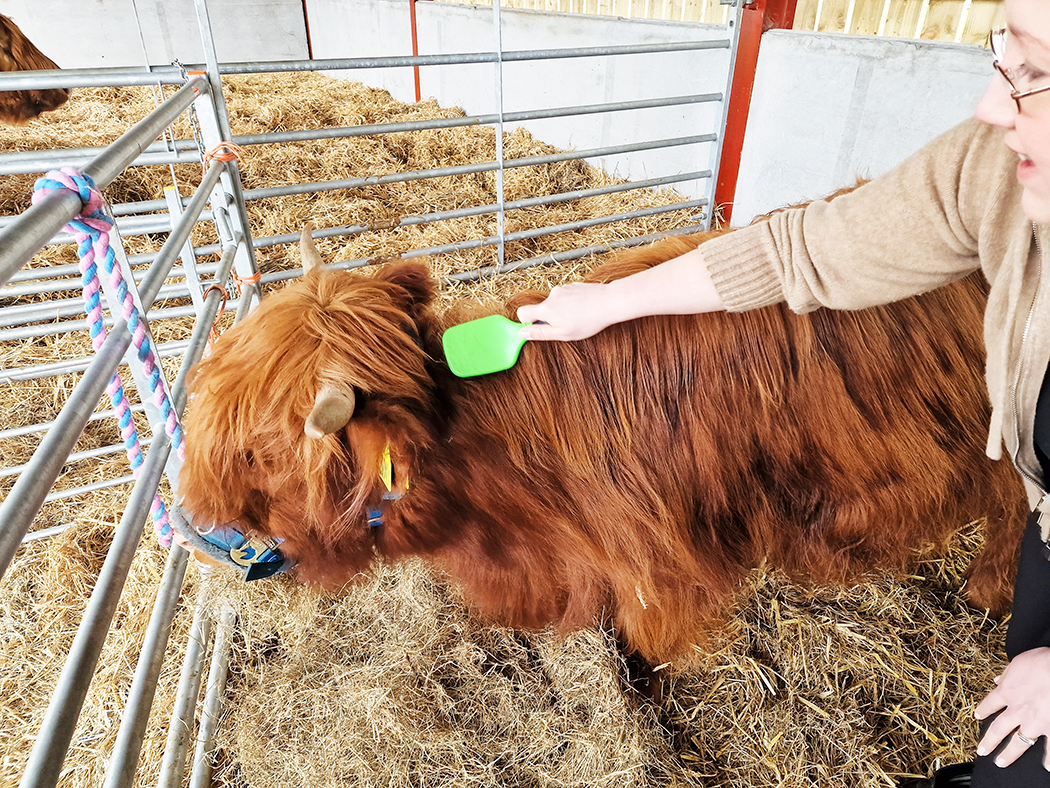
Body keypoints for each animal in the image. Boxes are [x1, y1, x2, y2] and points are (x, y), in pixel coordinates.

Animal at [177, 224, 1027, 665]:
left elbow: (650, 640)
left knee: (1015, 508)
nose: (188, 521)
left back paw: (987, 593)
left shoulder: (658, 565)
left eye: (260, 453)